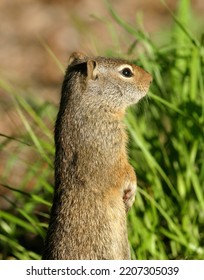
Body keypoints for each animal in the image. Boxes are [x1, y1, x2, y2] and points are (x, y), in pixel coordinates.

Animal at [42, 51, 151, 260]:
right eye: (126, 72)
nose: (150, 79)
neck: (92, 107)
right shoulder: (109, 148)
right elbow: (126, 173)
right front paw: (132, 192)